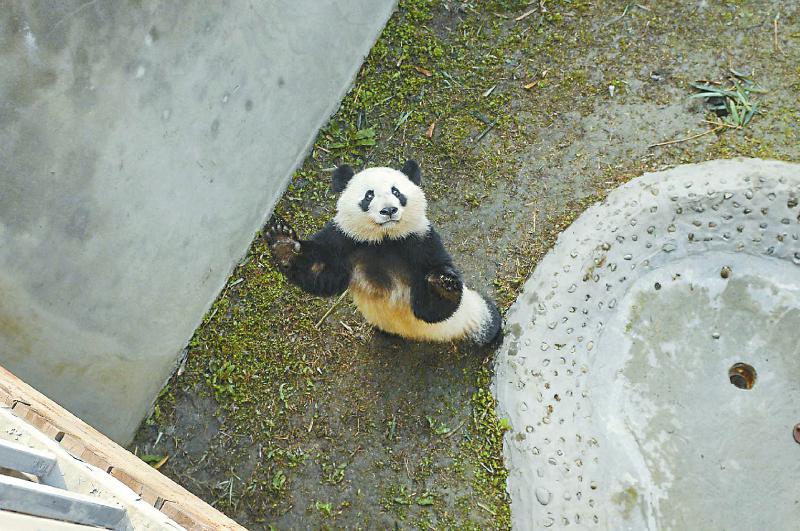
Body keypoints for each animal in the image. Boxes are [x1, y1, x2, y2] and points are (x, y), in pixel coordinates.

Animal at [262, 160, 500, 348]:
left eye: (396, 192)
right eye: (369, 195)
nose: (389, 210)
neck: (384, 239)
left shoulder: (421, 241)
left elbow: (431, 308)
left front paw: (443, 284)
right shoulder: (345, 240)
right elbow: (322, 273)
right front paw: (283, 244)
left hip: (474, 313)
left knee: (488, 320)